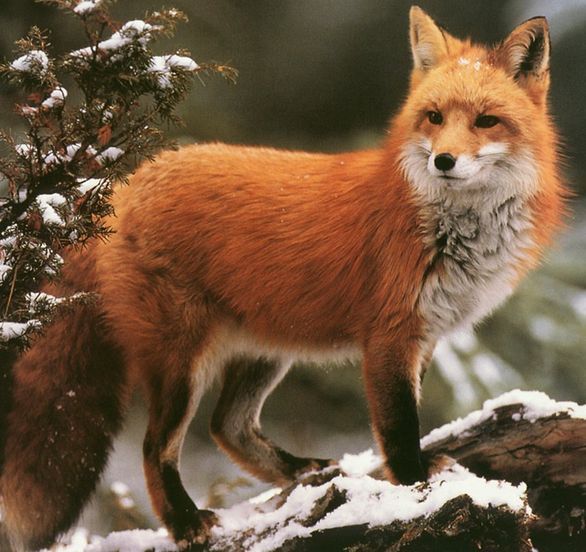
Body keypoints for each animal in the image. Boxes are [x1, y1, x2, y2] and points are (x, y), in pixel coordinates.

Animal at [1, 5, 564, 552]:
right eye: (435, 117)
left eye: (487, 121)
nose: (443, 160)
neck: (450, 228)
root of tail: (120, 186)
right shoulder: (389, 335)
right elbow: (400, 427)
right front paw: (413, 487)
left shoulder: (425, 337)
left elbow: (409, 419)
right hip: (182, 363)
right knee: (155, 446)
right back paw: (185, 523)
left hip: (266, 350)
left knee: (227, 427)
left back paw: (301, 472)